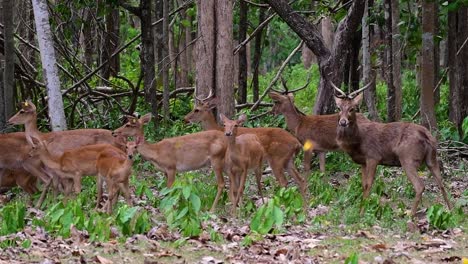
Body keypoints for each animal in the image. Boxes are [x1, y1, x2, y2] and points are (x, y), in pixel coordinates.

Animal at [330, 83, 452, 217]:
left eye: (352, 108)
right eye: (339, 108)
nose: (343, 122)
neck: (358, 141)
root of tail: (427, 135)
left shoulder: (373, 156)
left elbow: (368, 184)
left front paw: (362, 212)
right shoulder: (363, 162)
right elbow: (363, 185)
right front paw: (360, 210)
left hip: (408, 158)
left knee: (420, 186)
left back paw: (410, 215)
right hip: (431, 158)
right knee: (442, 184)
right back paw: (452, 211)